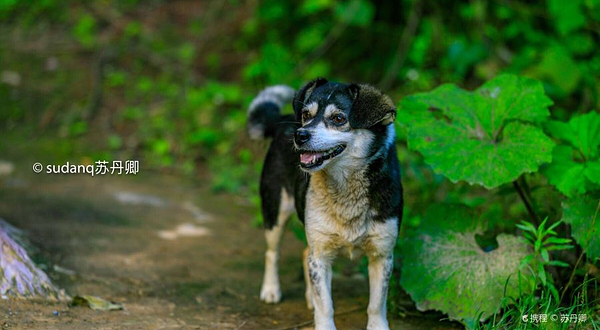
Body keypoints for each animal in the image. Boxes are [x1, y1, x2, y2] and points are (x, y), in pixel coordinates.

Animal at [248, 78, 404, 330]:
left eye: (339, 119)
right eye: (306, 114)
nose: (300, 135)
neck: (345, 187)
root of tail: (285, 120)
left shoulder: (382, 255)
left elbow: (376, 304)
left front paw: (377, 326)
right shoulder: (320, 255)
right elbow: (326, 306)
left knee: (304, 252)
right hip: (275, 211)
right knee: (272, 252)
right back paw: (271, 290)